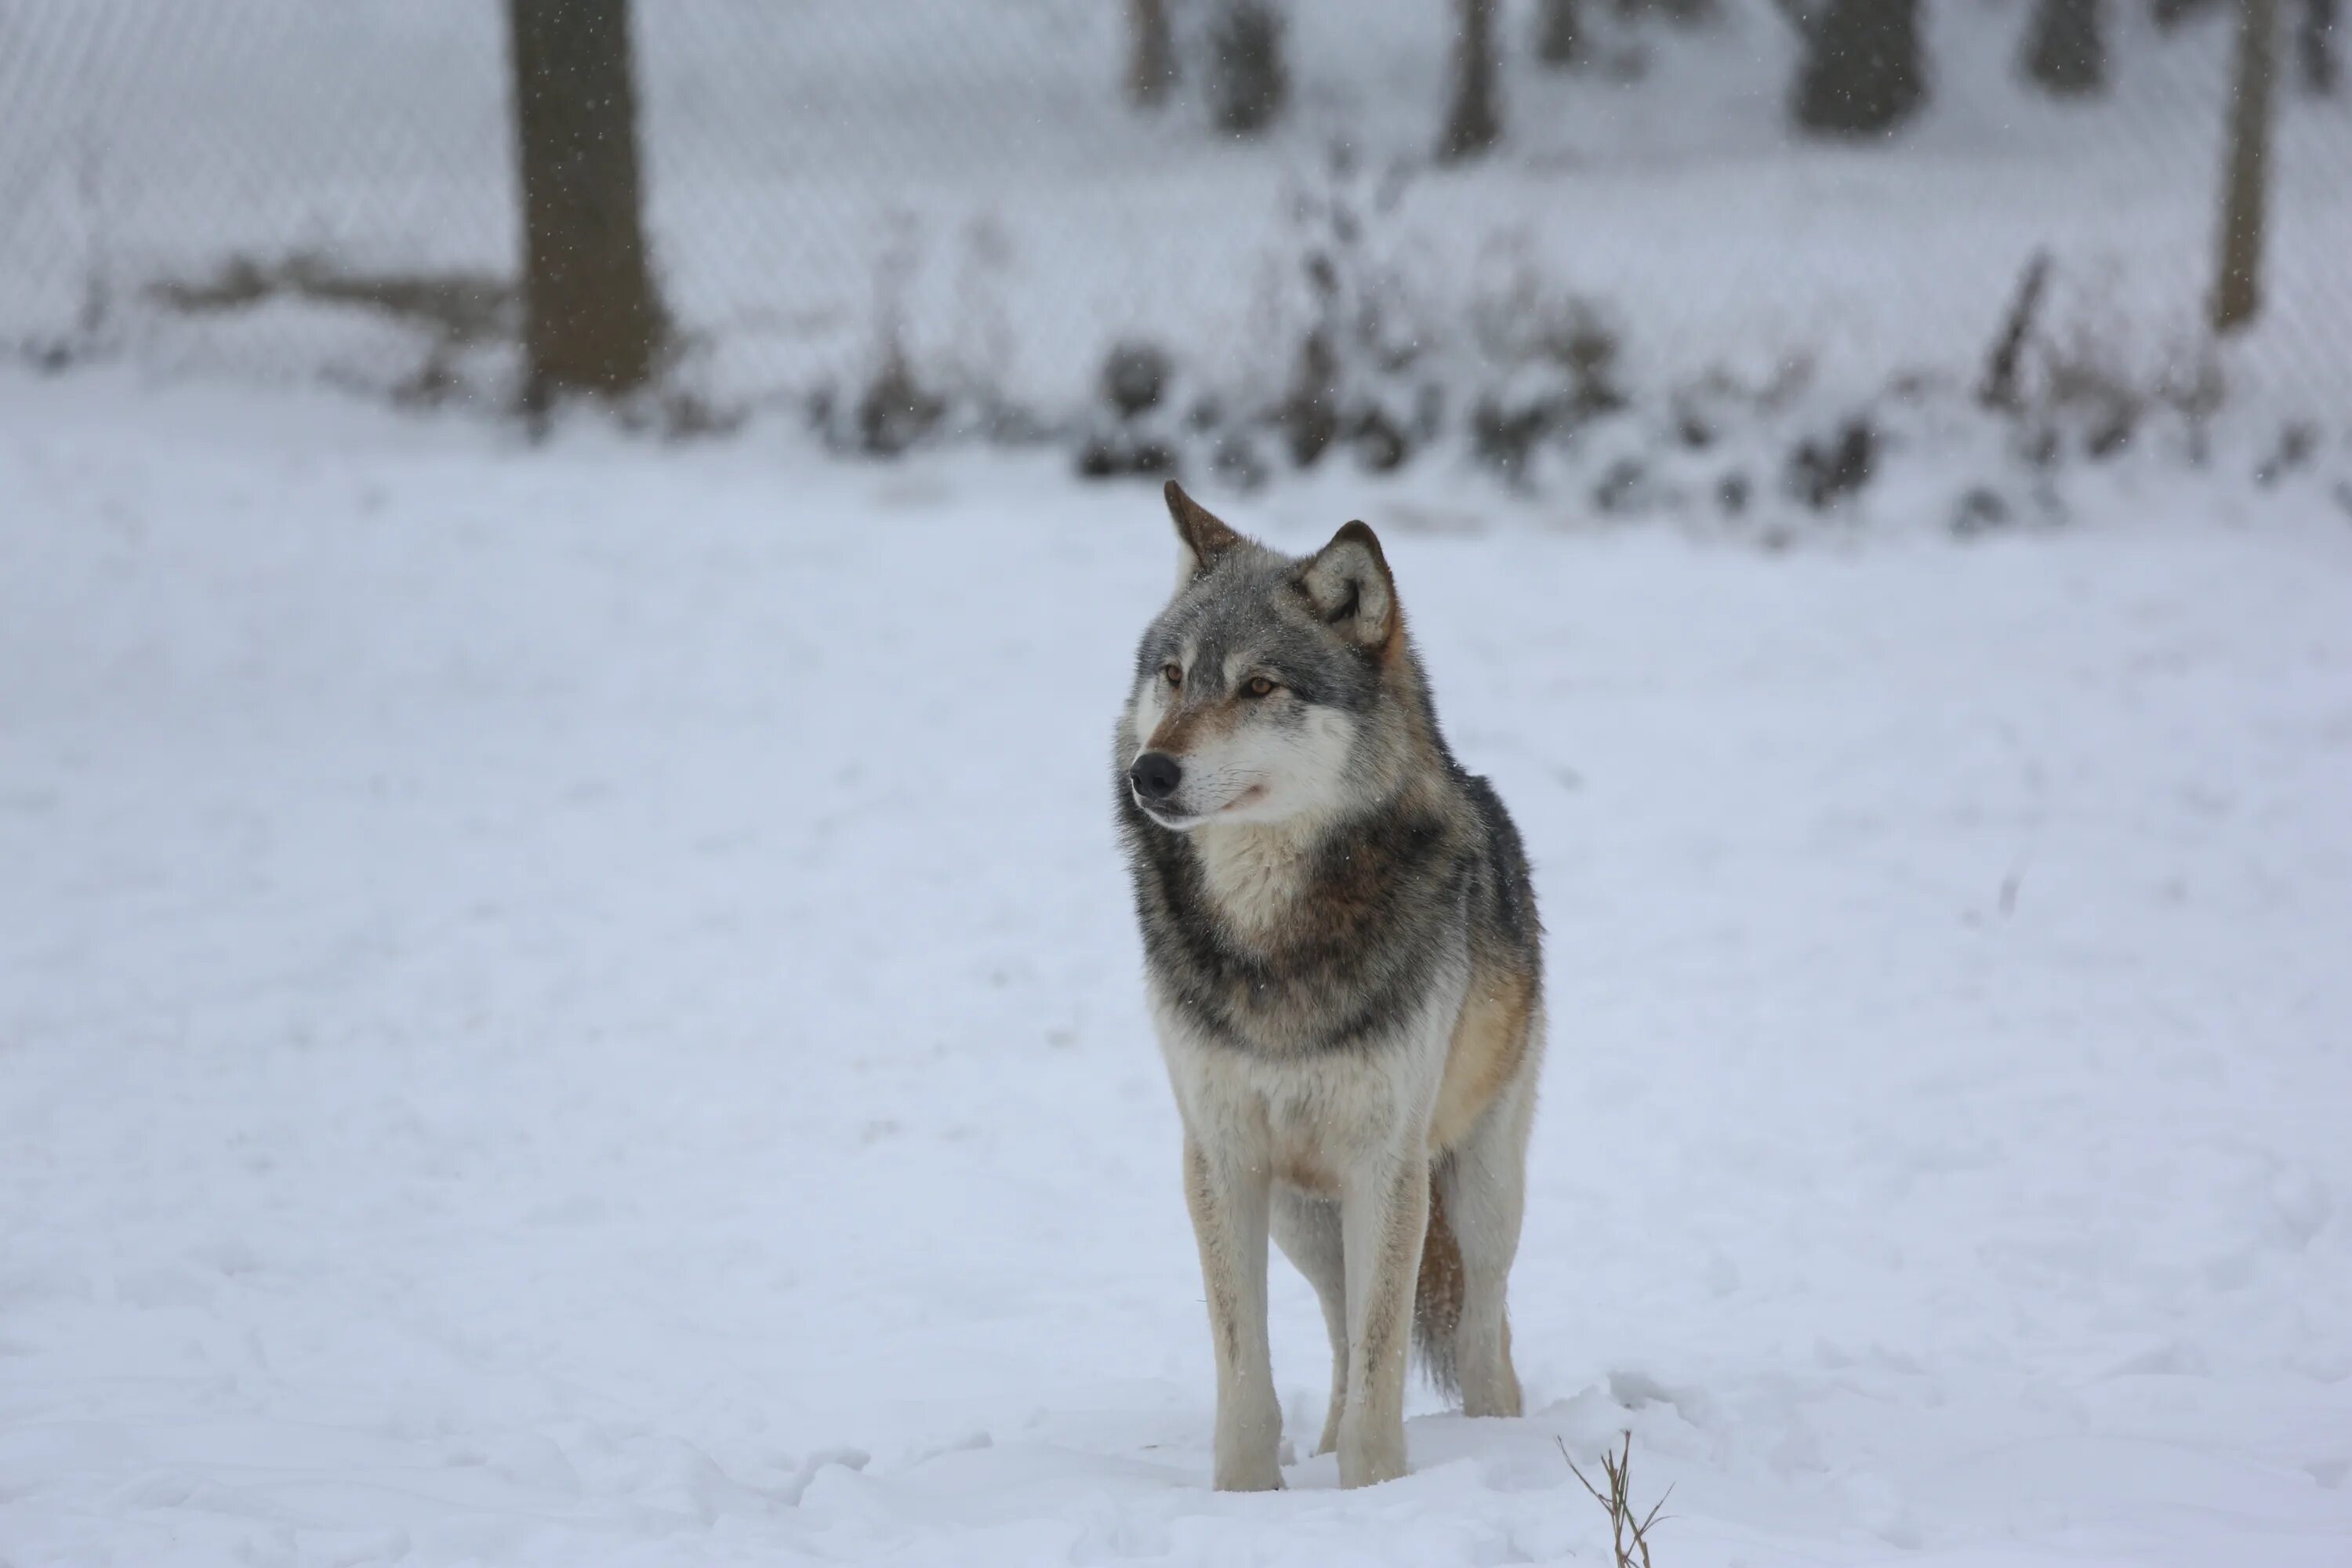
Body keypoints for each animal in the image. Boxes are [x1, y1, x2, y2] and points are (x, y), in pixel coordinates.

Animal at [1115, 481, 1552, 1495]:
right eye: (1173, 675)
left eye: (1259, 686)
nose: (1150, 771)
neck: (1274, 934)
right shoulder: (1221, 1157)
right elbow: (1249, 1368)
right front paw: (1247, 1495)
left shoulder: (1385, 1163)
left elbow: (1388, 1363)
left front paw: (1376, 1494)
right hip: (1302, 1219)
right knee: (1345, 1340)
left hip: (1478, 1193)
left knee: (1484, 1341)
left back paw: (1497, 1436)